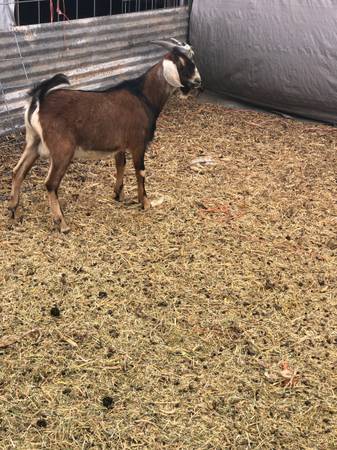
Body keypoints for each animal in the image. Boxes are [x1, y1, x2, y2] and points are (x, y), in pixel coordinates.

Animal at [8, 38, 200, 232]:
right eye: (183, 63)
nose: (198, 81)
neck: (143, 96)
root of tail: (38, 100)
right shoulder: (138, 143)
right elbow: (140, 171)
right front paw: (145, 202)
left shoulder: (120, 146)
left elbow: (120, 165)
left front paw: (117, 194)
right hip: (62, 150)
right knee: (50, 183)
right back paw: (62, 223)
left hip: (33, 142)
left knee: (18, 171)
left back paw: (14, 211)